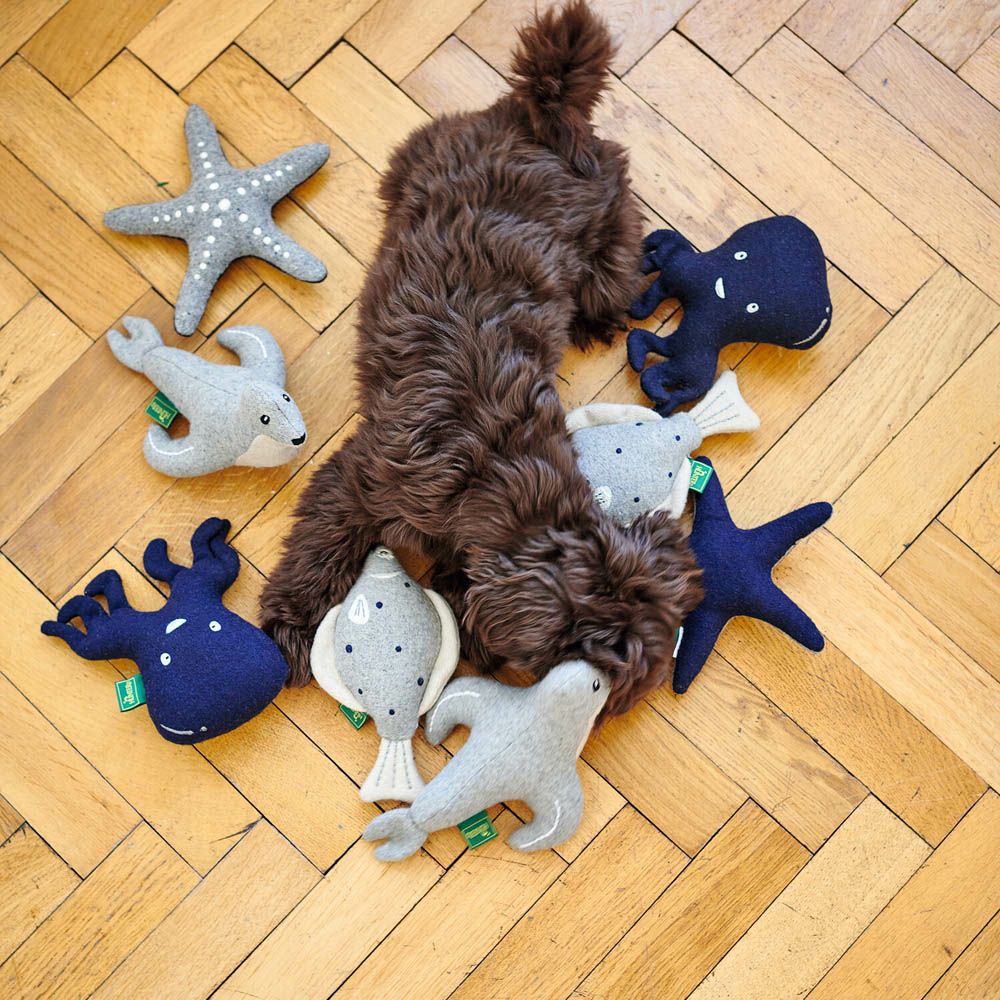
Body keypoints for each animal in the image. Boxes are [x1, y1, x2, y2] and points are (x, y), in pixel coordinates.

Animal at [259, 0, 702, 718]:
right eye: (590, 673)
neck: (499, 473)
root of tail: (541, 117)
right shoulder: (357, 481)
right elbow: (319, 553)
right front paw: (288, 627)